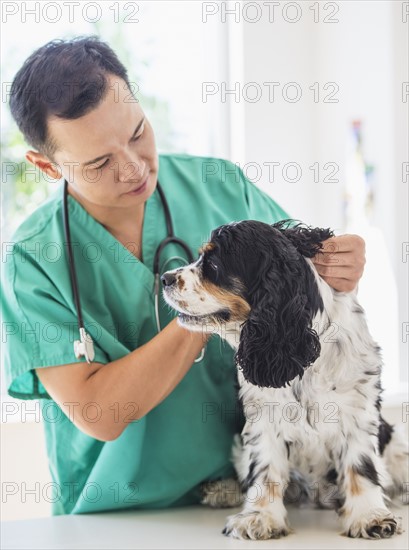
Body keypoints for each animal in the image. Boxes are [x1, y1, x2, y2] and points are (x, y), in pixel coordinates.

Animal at [161, 220, 406, 544]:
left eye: (213, 264)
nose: (164, 278)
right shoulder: (263, 417)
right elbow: (264, 470)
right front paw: (259, 517)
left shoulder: (358, 410)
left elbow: (360, 466)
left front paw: (370, 516)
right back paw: (223, 490)